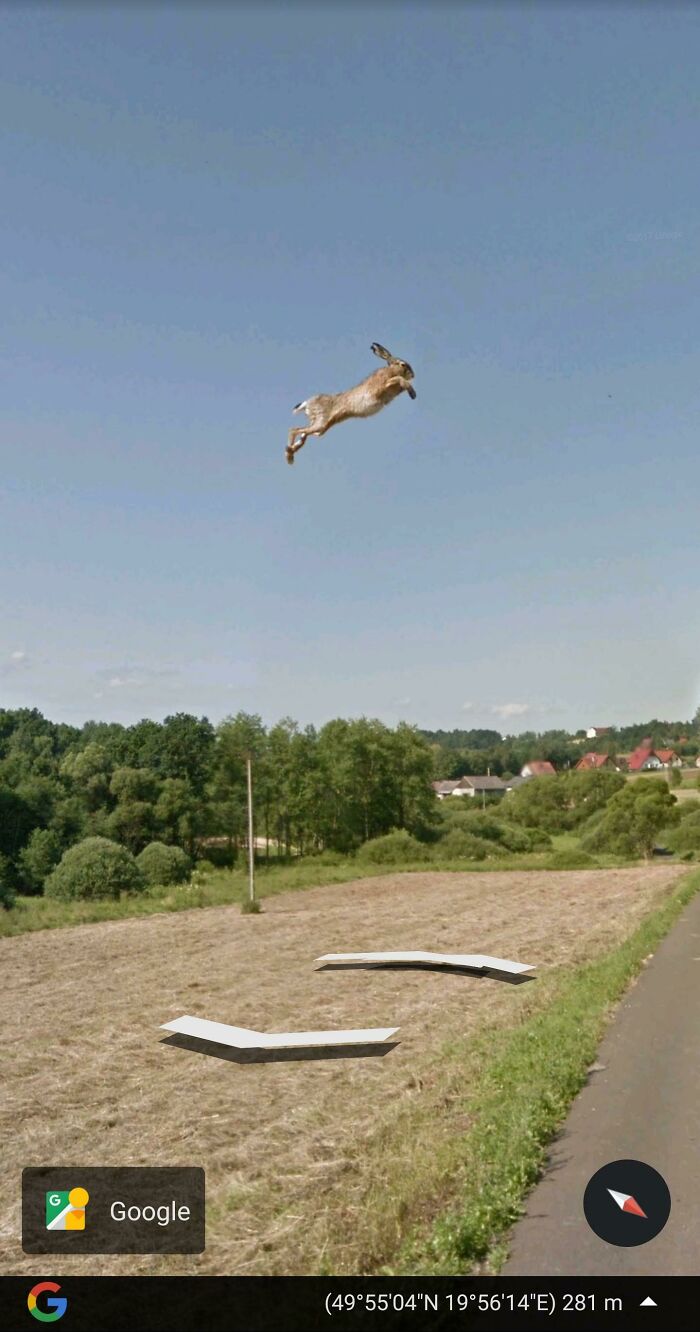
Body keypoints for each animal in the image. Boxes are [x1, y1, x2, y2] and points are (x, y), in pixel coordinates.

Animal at [286, 343, 416, 464]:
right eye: (403, 364)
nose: (413, 375)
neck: (390, 371)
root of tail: (306, 404)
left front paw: (412, 392)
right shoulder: (382, 386)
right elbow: (398, 379)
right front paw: (412, 392)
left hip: (321, 427)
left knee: (305, 434)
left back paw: (291, 451)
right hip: (320, 421)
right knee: (294, 430)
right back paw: (289, 457)